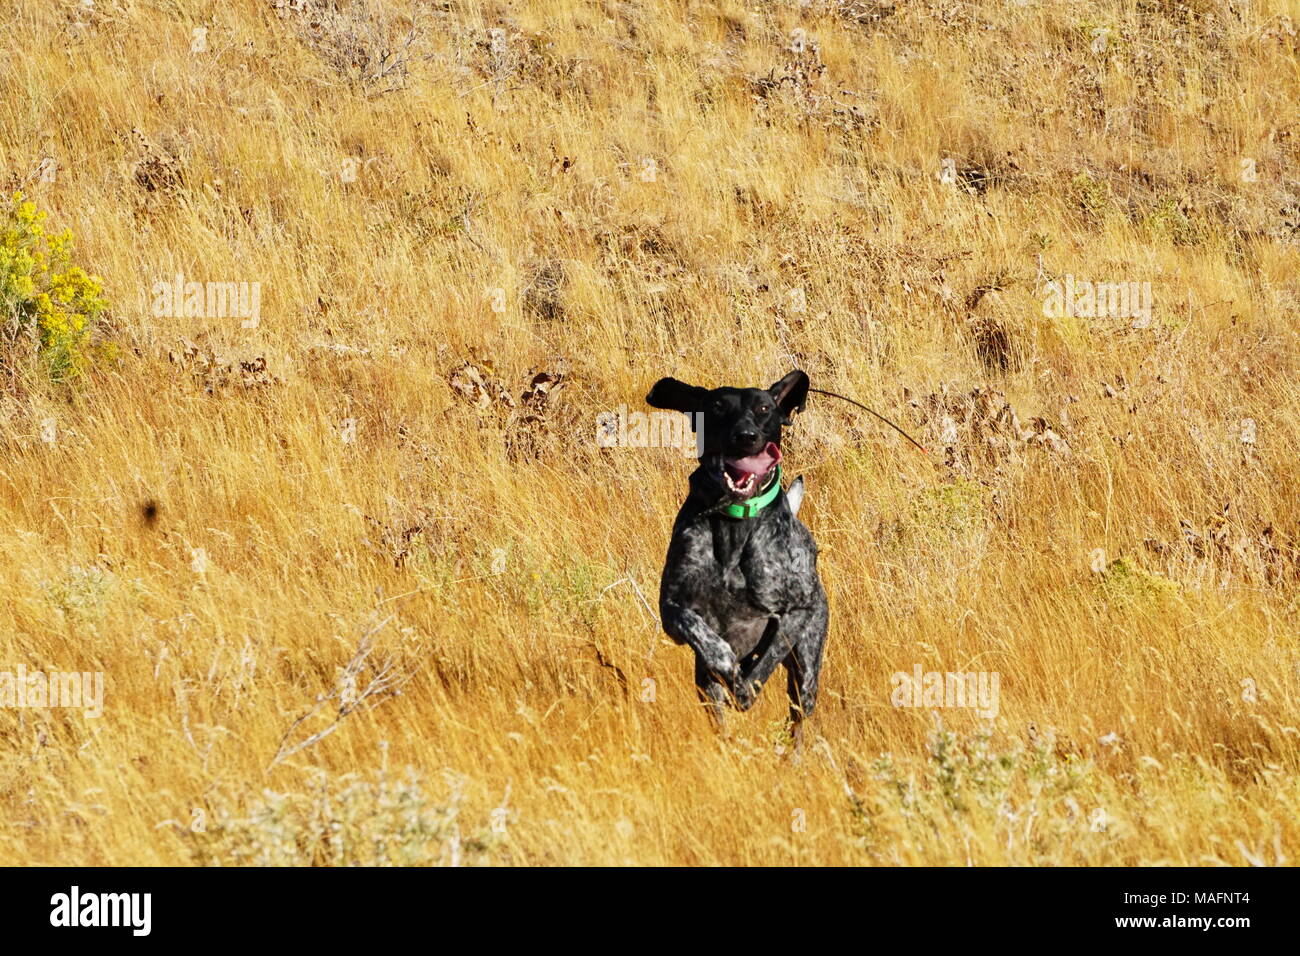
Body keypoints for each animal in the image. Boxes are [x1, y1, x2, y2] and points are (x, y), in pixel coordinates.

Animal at [644, 369, 826, 743]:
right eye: (716, 407)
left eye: (764, 408)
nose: (746, 437)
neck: (735, 523)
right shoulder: (672, 609)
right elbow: (709, 642)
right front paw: (727, 663)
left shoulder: (797, 611)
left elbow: (766, 660)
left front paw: (745, 689)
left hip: (807, 669)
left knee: (799, 717)